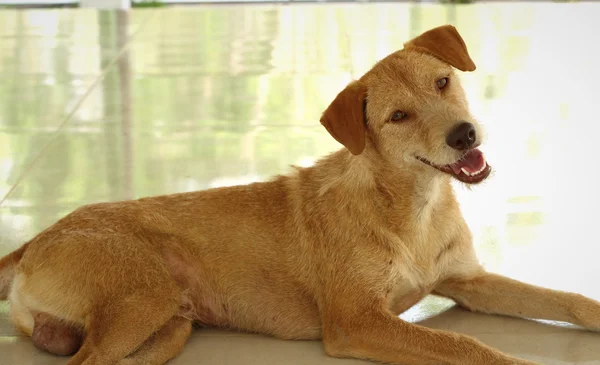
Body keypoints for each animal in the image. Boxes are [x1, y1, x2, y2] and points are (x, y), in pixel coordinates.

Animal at [1, 24, 600, 362]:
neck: (413, 209)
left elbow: (568, 299)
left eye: (443, 82)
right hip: (144, 299)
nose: (464, 136)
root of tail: (36, 241)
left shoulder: (468, 282)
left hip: (168, 328)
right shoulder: (355, 322)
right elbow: (467, 346)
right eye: (398, 117)